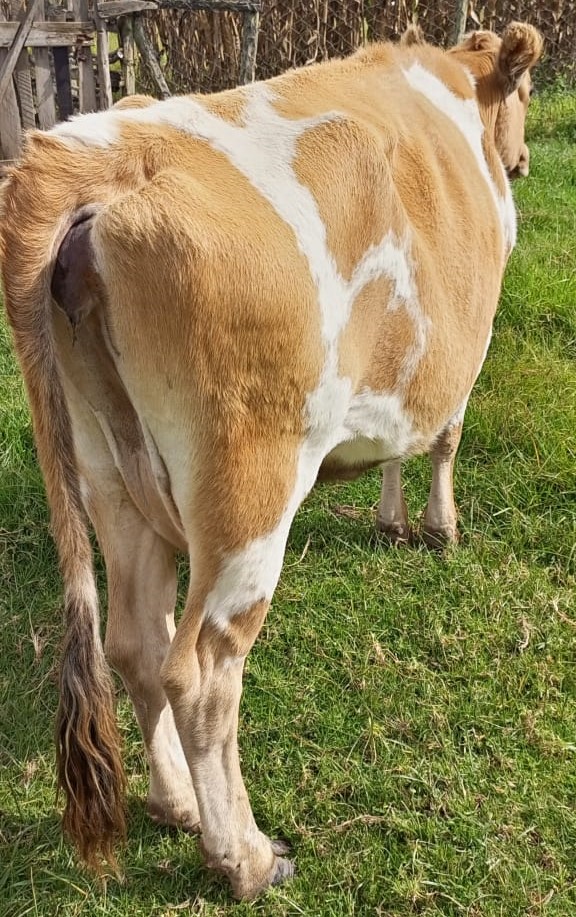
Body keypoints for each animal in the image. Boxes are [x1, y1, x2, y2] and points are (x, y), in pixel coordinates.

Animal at [0, 22, 542, 899]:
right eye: (525, 93)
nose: (522, 158)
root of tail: (94, 149)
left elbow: (399, 439)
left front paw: (392, 518)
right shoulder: (467, 341)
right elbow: (443, 438)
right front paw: (438, 527)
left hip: (106, 468)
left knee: (134, 643)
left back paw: (177, 803)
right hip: (250, 483)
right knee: (202, 668)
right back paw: (245, 855)